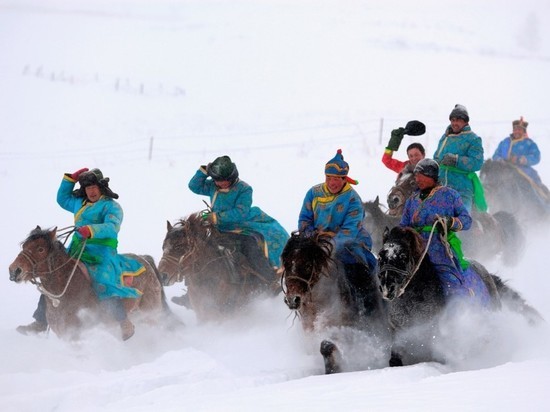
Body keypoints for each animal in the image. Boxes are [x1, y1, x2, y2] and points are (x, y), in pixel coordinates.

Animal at [282, 230, 394, 374]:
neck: (319, 303)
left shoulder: (342, 330)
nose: (292, 300)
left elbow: (326, 346)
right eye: (287, 264)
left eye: (307, 265)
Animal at [380, 225, 544, 366]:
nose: (387, 288)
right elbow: (395, 358)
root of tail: (487, 274)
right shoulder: (400, 332)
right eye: (381, 256)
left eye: (403, 255)